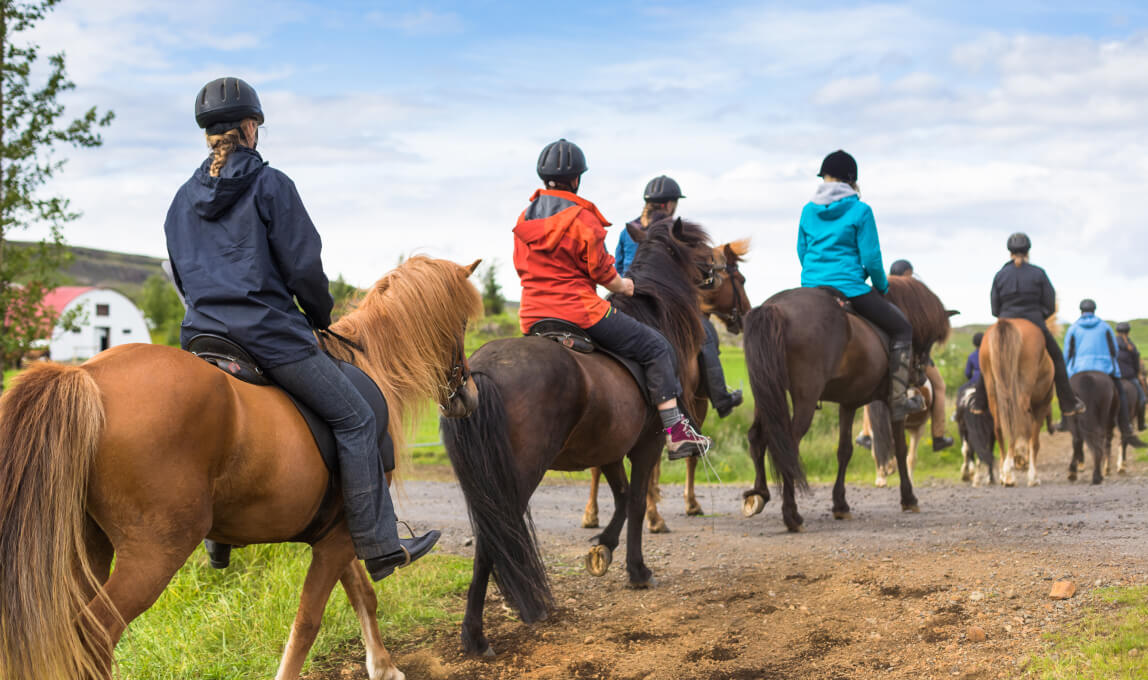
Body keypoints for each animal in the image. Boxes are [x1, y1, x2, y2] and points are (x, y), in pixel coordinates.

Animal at [0, 256, 482, 680]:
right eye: (461, 324)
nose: (468, 396)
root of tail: (88, 377)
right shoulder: (342, 536)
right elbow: (308, 622)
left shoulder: (335, 533)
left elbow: (362, 595)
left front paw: (382, 667)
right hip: (153, 554)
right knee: (93, 637)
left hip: (84, 548)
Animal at [443, 220, 711, 657]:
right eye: (701, 248)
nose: (716, 272)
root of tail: (480, 372)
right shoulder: (646, 446)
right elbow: (638, 502)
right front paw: (638, 570)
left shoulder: (609, 450)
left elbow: (622, 498)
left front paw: (603, 547)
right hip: (517, 478)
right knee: (493, 538)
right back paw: (478, 635)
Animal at [578, 236, 748, 532]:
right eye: (740, 279)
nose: (747, 313)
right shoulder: (695, 402)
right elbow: (689, 454)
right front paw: (685, 505)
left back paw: (591, 513)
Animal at [743, 274, 950, 530]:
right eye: (930, 339)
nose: (920, 377)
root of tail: (775, 307)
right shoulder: (893, 404)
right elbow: (900, 449)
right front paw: (909, 498)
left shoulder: (848, 403)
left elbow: (845, 451)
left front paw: (840, 504)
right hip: (805, 399)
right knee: (787, 445)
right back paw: (791, 515)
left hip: (766, 391)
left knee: (758, 437)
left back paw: (759, 495)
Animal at [973, 317, 1051, 487]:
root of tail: (1005, 323)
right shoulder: (1041, 407)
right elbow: (1034, 442)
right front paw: (1033, 477)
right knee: (1015, 421)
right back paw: (1009, 471)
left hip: (992, 390)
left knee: (999, 426)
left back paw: (1005, 473)